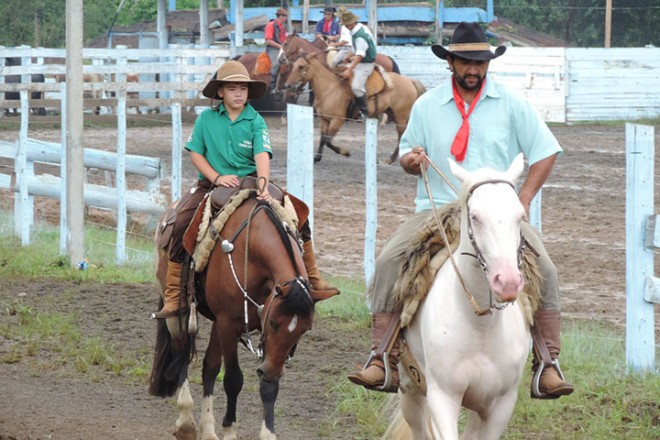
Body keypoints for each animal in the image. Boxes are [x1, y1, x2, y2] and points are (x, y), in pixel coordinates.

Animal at [150, 187, 336, 438]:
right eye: (273, 322)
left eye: (304, 329)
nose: (270, 371)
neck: (253, 252)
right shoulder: (230, 323)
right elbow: (233, 379)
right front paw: (229, 431)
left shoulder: (249, 336)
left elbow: (267, 386)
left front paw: (268, 433)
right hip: (178, 314)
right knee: (181, 354)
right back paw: (186, 423)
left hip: (217, 324)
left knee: (209, 367)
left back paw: (208, 431)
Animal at [286, 54, 426, 164]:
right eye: (293, 65)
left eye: (301, 66)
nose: (288, 85)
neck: (330, 89)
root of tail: (410, 81)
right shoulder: (324, 120)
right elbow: (322, 139)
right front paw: (316, 158)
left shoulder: (337, 121)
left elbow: (328, 141)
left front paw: (345, 152)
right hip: (392, 113)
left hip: (400, 116)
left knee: (401, 135)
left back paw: (391, 159)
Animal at [386, 153, 536, 438]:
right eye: (475, 217)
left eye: (520, 216)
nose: (508, 282)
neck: (481, 325)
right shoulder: (443, 398)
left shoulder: (500, 405)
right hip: (411, 389)